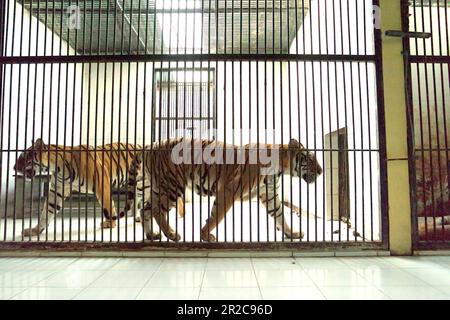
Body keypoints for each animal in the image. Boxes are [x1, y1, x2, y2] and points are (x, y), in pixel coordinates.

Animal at [13, 139, 183, 236]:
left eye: (23, 157)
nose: (14, 168)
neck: (58, 167)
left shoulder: (102, 184)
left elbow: (108, 206)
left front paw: (110, 224)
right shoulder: (57, 191)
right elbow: (46, 213)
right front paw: (34, 230)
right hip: (141, 186)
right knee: (140, 201)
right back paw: (137, 217)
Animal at [120, 136, 324, 241]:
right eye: (310, 158)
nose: (322, 171)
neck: (280, 169)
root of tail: (149, 145)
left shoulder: (270, 195)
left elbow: (281, 215)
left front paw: (292, 233)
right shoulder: (229, 190)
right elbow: (216, 216)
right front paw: (205, 235)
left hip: (156, 187)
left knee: (145, 209)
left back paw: (152, 235)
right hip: (172, 186)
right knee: (156, 210)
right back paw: (172, 234)